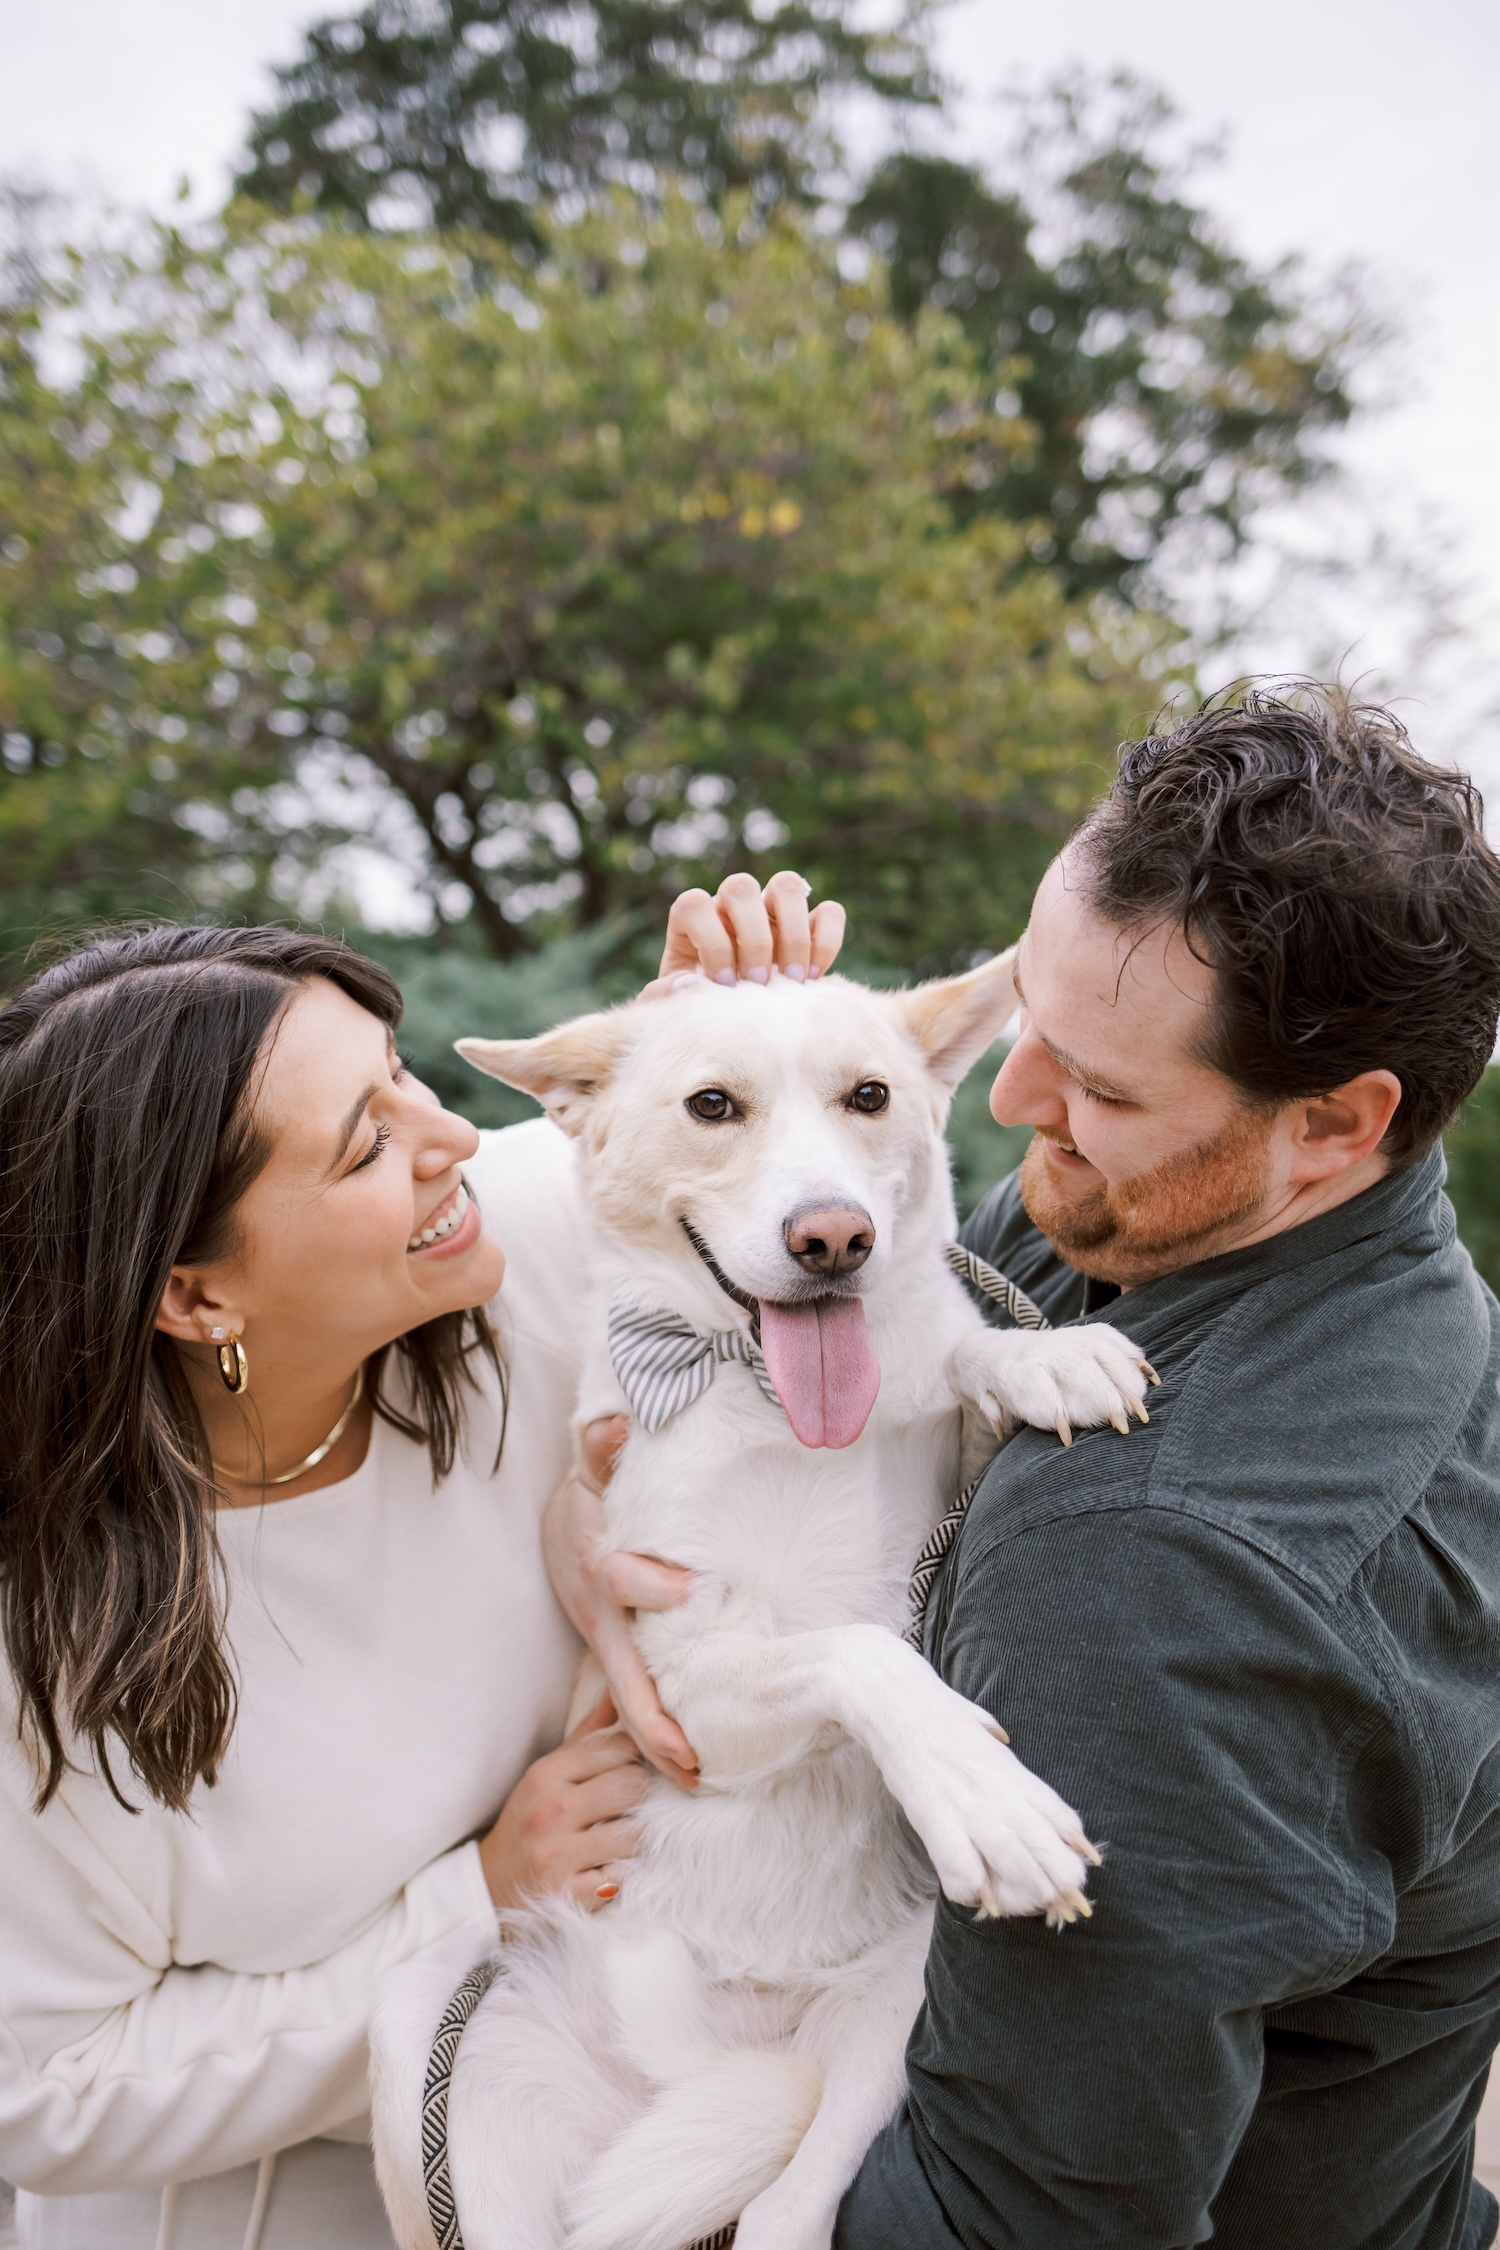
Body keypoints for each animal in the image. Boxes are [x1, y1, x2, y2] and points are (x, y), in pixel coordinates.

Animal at [373, 958, 1151, 2250]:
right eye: (712, 1107)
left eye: (870, 1095)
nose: (834, 1236)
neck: (767, 1400)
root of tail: (701, 2054)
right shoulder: (675, 1687)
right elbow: (857, 1652)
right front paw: (981, 1793)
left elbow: (954, 1359)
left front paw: (1044, 1358)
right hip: (422, 2040)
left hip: (900, 2003)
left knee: (791, 2204)